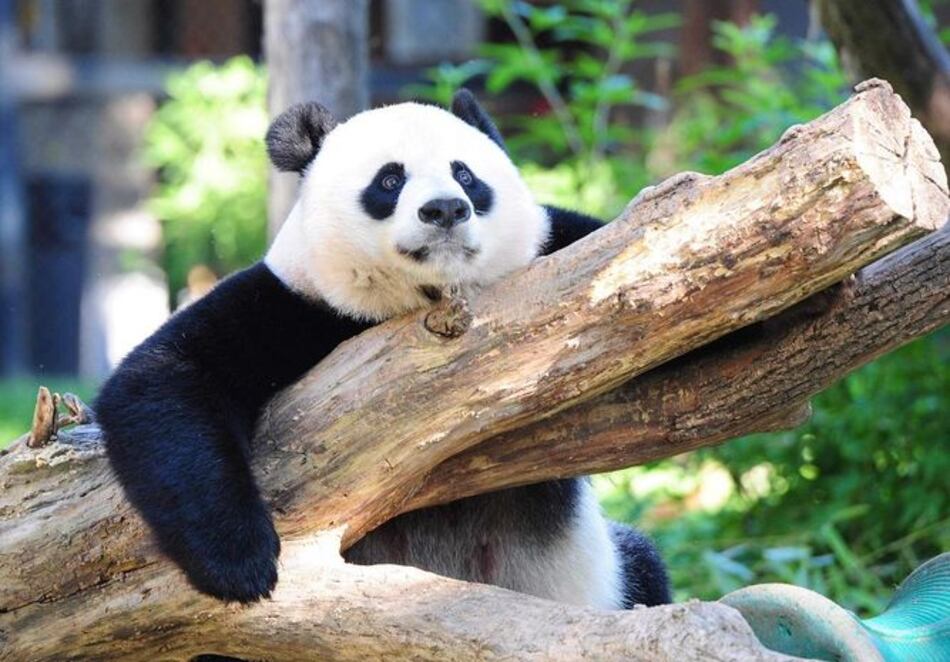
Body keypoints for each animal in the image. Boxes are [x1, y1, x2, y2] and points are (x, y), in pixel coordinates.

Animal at [96, 90, 670, 611]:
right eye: (390, 181)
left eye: (465, 175)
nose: (446, 209)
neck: (425, 298)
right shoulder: (294, 304)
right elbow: (164, 379)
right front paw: (241, 563)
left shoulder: (560, 249)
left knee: (645, 565)